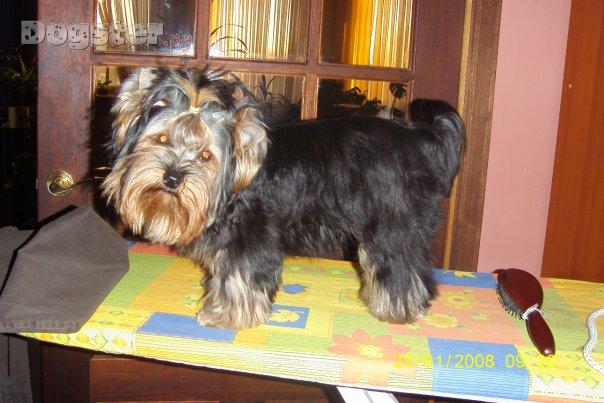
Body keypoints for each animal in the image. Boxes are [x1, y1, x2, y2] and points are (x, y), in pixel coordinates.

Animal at [102, 68, 465, 329]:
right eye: (162, 139)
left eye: (205, 156)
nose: (172, 178)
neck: (232, 184)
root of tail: (419, 137)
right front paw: (219, 308)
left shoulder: (251, 237)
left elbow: (240, 277)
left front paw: (228, 316)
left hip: (392, 219)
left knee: (400, 262)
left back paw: (396, 309)